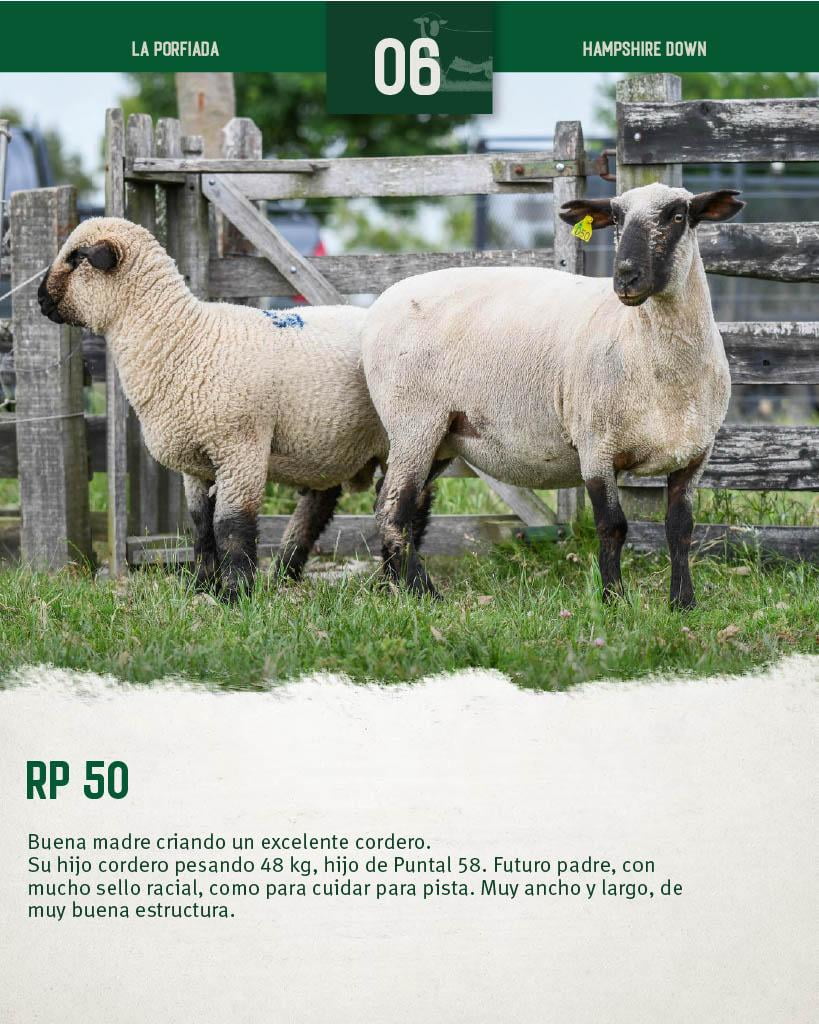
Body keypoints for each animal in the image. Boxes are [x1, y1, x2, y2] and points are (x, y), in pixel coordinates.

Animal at [38, 217, 388, 602]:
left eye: (76, 258)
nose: (39, 299)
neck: (185, 339)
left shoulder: (240, 448)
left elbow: (231, 525)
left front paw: (237, 593)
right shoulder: (195, 462)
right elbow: (201, 525)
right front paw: (202, 585)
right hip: (329, 443)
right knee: (318, 506)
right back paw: (286, 572)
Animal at [361, 183, 744, 608]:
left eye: (677, 216)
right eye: (617, 219)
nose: (626, 277)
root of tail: (377, 307)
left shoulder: (695, 453)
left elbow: (681, 528)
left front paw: (683, 603)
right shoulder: (596, 447)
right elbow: (612, 526)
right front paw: (614, 600)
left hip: (443, 435)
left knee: (392, 503)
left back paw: (396, 588)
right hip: (414, 422)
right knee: (394, 508)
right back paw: (421, 593)